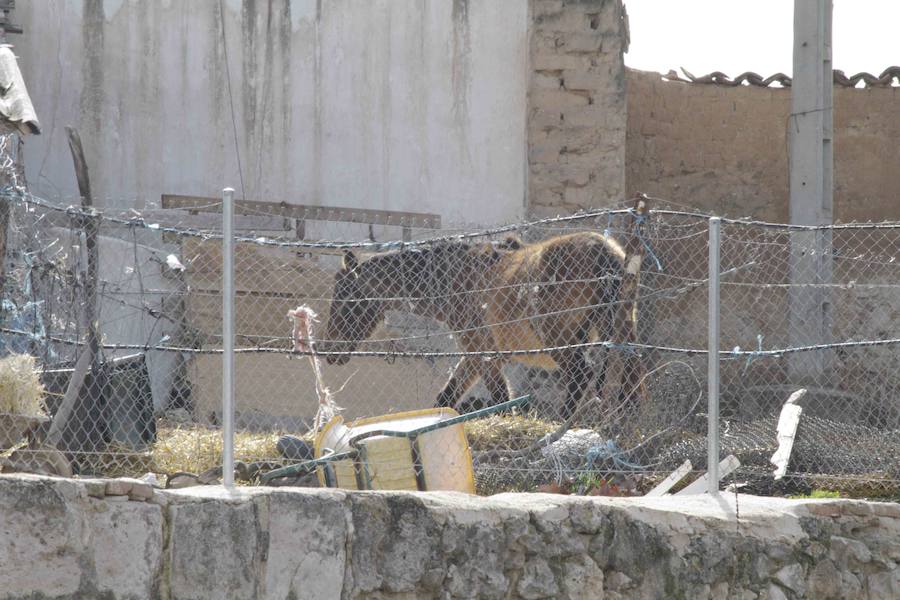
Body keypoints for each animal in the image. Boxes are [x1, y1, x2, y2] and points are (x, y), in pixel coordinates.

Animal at [322, 232, 624, 420]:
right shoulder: (474, 356)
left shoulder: (484, 355)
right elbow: (446, 398)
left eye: (347, 296)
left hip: (559, 340)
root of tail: (605, 251)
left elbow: (502, 402)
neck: (454, 281)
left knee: (580, 374)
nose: (329, 351)